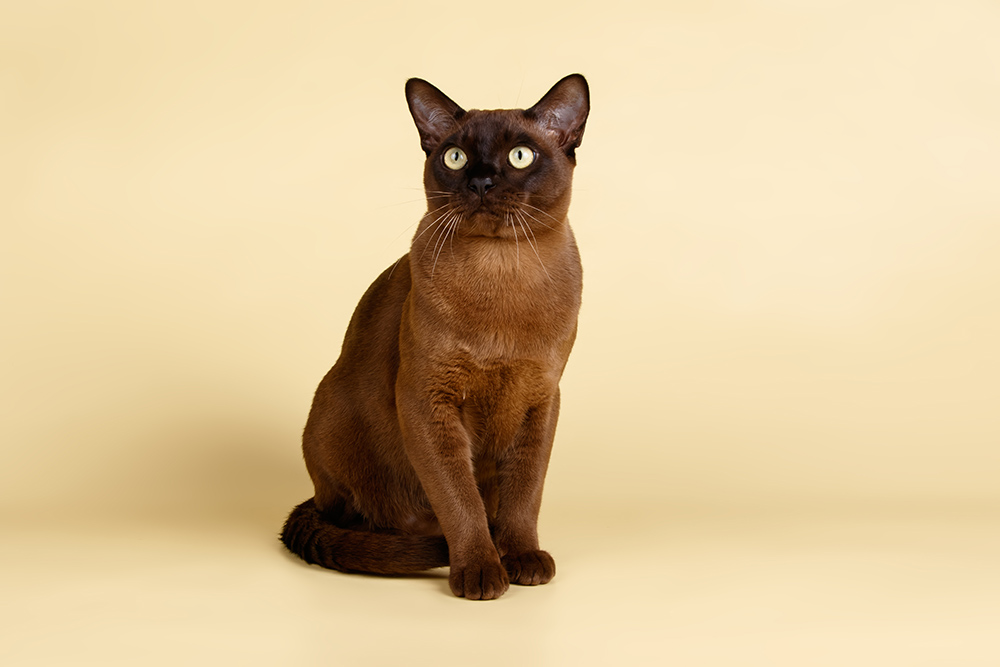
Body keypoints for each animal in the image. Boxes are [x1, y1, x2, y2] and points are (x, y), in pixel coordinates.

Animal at [282, 73, 588, 600]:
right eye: (455, 157)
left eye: (520, 156)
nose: (481, 181)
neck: (501, 274)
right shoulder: (428, 400)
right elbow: (459, 499)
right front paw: (482, 571)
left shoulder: (540, 400)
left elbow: (525, 493)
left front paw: (522, 558)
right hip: (332, 414)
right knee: (364, 519)